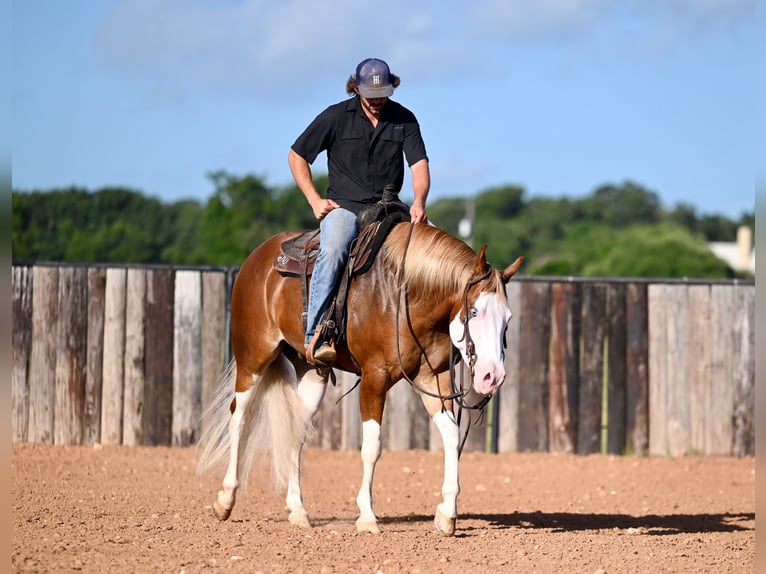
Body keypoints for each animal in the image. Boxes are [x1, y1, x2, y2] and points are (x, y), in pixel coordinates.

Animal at [195, 220, 524, 536]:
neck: (405, 295)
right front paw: (367, 516)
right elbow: (372, 447)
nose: (492, 376)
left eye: (508, 318)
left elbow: (452, 436)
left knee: (297, 430)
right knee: (239, 419)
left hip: (311, 375)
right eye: (474, 311)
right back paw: (225, 500)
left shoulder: (433, 380)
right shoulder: (374, 378)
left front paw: (447, 514)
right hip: (253, 358)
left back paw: (298, 511)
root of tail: (257, 257)